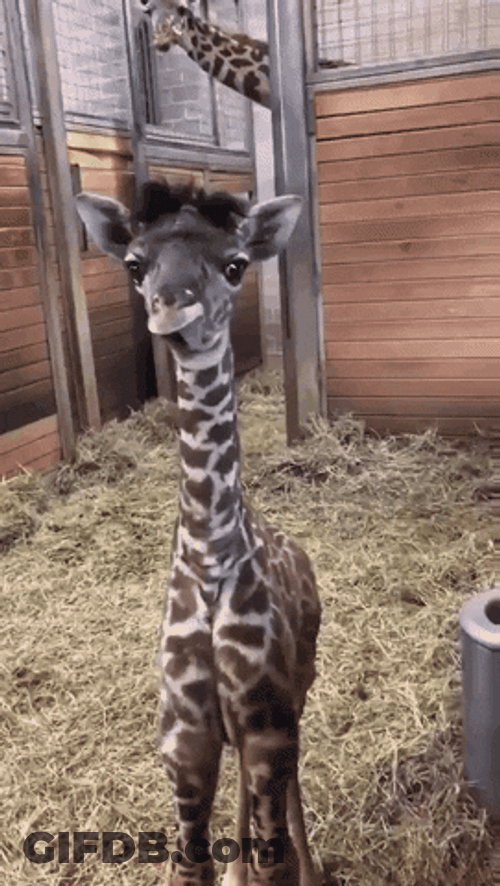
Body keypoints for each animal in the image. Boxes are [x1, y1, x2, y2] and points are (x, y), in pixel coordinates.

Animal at [76, 180, 321, 886]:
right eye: (136, 265)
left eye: (235, 265)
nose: (173, 318)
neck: (210, 556)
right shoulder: (183, 736)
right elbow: (191, 866)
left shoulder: (268, 720)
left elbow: (274, 861)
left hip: (298, 687)